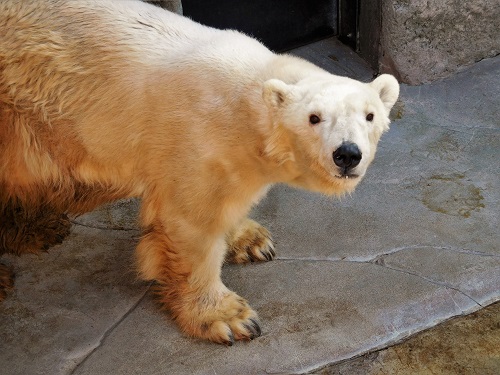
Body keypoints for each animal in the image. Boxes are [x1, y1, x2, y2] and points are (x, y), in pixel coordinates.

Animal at [0, 0, 398, 346]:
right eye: (314, 118)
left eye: (369, 115)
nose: (347, 154)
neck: (244, 101)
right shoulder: (194, 141)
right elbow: (191, 228)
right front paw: (229, 318)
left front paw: (251, 240)